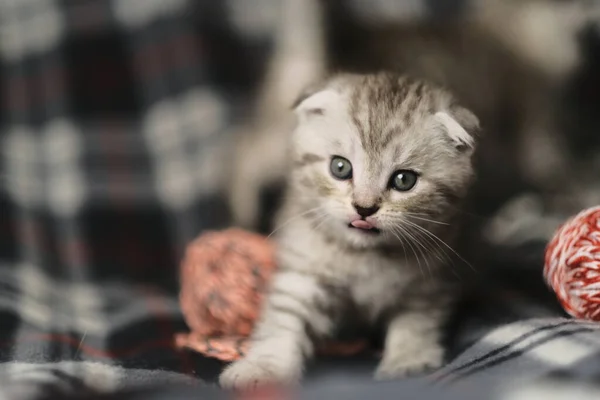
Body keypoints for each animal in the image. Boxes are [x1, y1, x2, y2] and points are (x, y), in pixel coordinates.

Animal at [218, 72, 480, 388]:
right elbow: (286, 315)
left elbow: (416, 320)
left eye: (404, 180)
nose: (364, 208)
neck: (366, 256)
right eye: (340, 167)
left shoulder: (431, 278)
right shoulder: (304, 266)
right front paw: (264, 367)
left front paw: (409, 362)